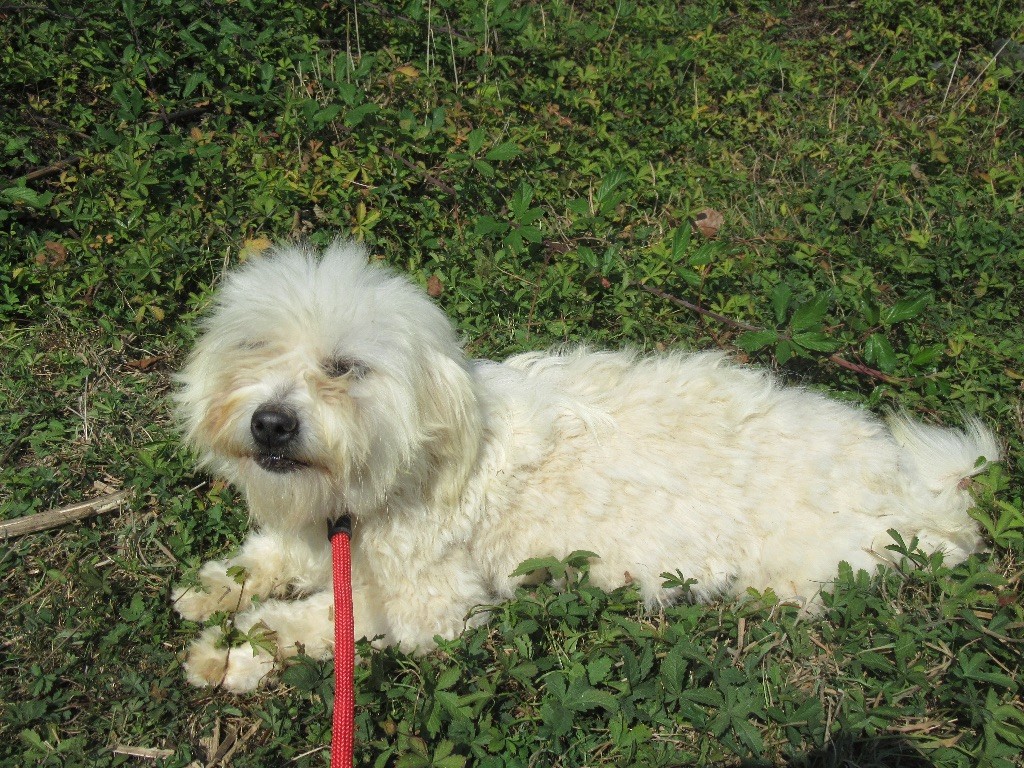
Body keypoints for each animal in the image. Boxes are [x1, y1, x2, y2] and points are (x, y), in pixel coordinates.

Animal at [172, 241, 999, 692]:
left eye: (343, 367)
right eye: (253, 347)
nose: (270, 423)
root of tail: (918, 494)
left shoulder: (431, 606)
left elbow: (315, 622)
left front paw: (233, 652)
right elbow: (267, 559)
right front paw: (215, 590)